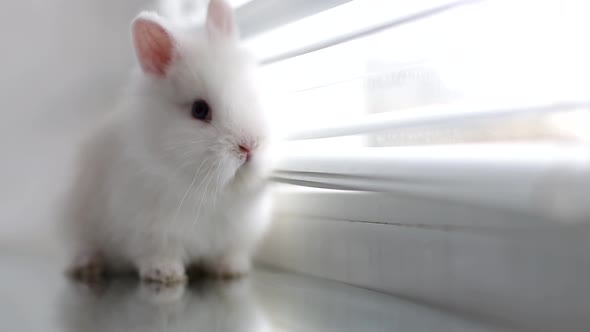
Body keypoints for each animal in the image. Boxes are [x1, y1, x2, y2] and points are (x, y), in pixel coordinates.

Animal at [65, 0, 276, 284]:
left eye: (255, 94)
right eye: (200, 110)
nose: (250, 146)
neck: (211, 192)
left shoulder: (237, 234)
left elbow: (228, 253)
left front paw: (231, 269)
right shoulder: (149, 229)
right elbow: (157, 253)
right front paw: (165, 274)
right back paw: (87, 266)